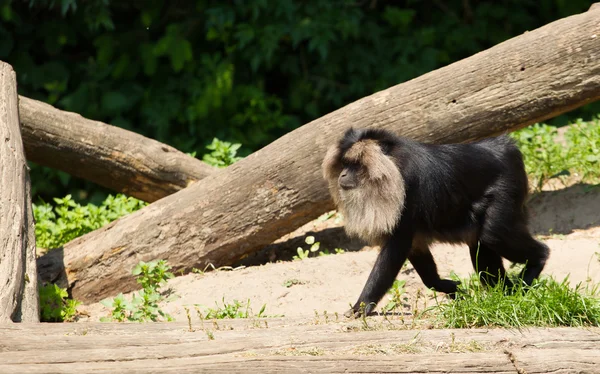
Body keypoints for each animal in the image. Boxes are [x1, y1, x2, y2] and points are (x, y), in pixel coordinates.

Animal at [324, 127, 548, 318]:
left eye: (355, 165)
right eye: (344, 164)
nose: (343, 174)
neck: (393, 165)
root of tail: (504, 147)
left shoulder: (409, 188)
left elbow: (396, 248)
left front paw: (361, 306)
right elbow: (416, 250)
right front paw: (444, 286)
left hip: (507, 189)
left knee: (494, 234)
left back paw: (538, 261)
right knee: (480, 244)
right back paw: (504, 295)